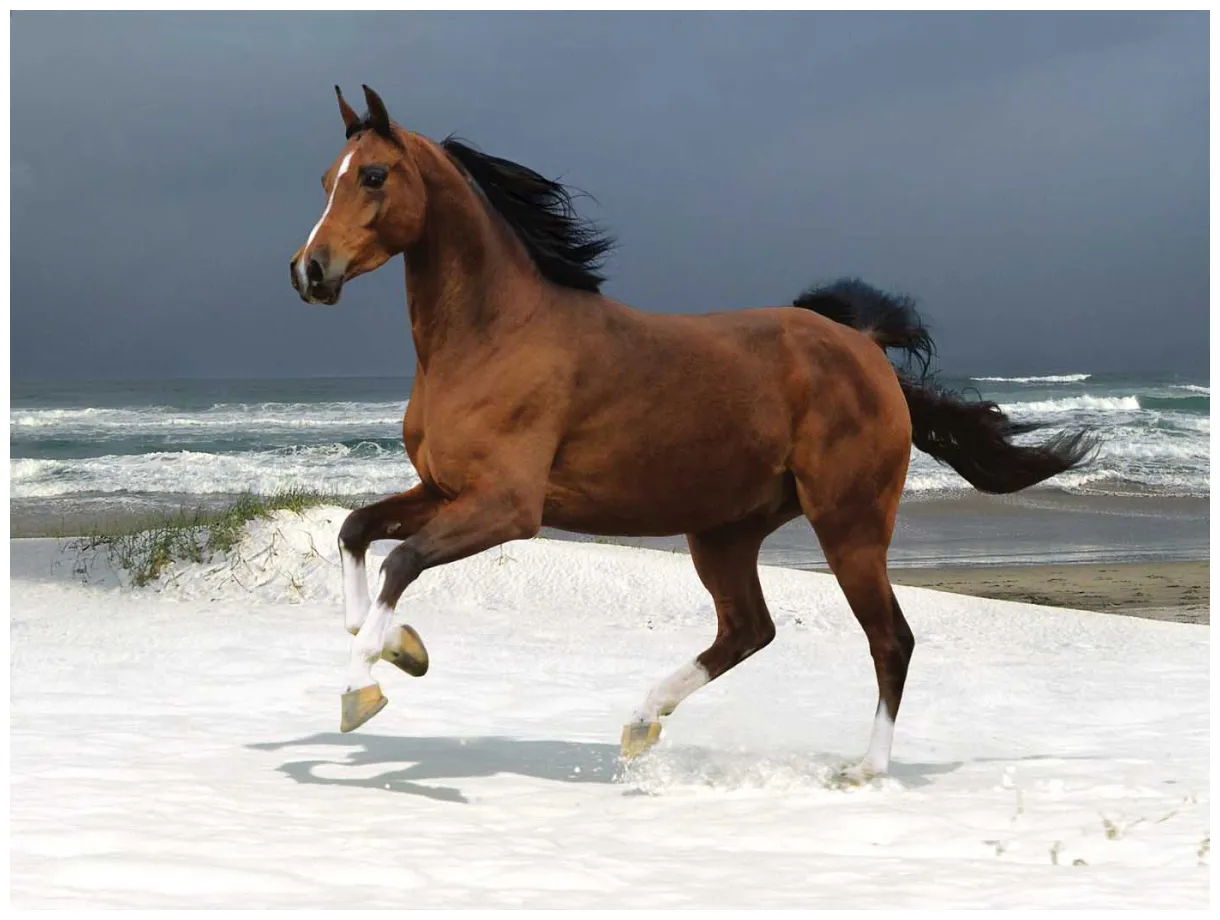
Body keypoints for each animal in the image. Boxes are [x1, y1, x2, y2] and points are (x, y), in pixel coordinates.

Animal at [289, 85, 1094, 779]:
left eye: (374, 176)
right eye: (327, 178)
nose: (309, 271)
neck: (492, 335)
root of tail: (863, 347)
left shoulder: (507, 509)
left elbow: (402, 562)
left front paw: (363, 688)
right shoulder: (443, 489)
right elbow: (357, 532)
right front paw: (399, 648)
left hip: (850, 524)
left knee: (889, 639)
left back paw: (863, 770)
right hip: (725, 531)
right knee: (749, 629)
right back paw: (641, 722)